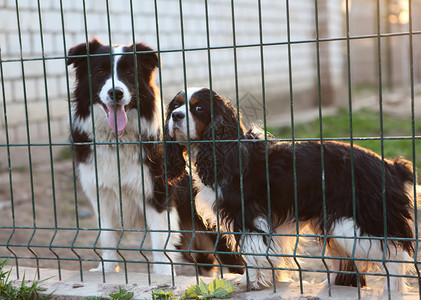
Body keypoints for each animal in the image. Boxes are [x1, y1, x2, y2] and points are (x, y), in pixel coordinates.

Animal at [67, 40, 241, 276]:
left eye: (129, 72)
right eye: (100, 72)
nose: (116, 93)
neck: (117, 140)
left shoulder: (158, 194)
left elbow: (160, 240)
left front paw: (163, 276)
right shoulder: (101, 194)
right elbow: (107, 236)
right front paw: (106, 269)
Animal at [163, 87, 414, 290]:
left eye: (198, 108)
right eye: (175, 106)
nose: (176, 116)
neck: (227, 151)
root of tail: (390, 166)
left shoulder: (249, 216)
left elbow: (253, 252)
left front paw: (252, 281)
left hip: (356, 224)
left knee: (396, 256)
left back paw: (393, 290)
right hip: (337, 225)